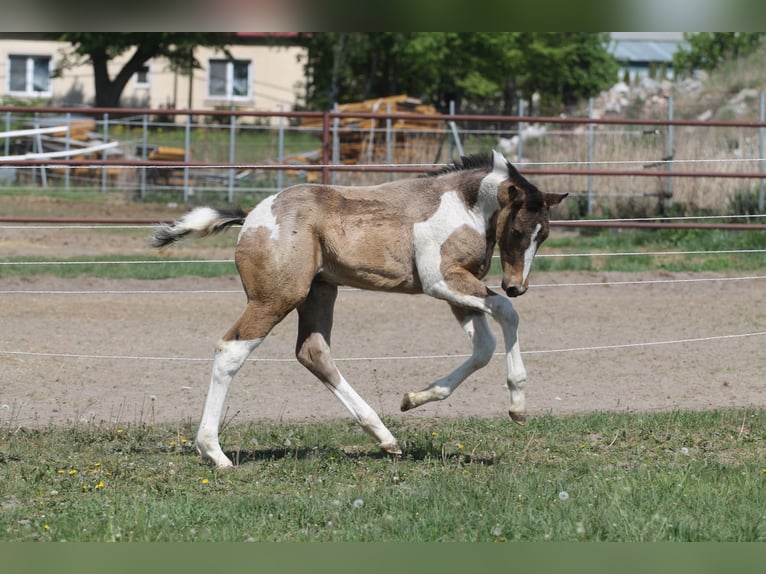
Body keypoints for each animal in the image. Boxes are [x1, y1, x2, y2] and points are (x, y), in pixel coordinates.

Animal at [152, 150, 566, 469]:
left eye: (544, 235)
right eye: (517, 231)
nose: (516, 286)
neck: (463, 205)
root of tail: (253, 215)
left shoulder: (455, 292)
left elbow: (483, 347)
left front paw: (413, 399)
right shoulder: (442, 281)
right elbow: (507, 314)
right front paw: (517, 404)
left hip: (320, 293)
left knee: (313, 353)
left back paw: (385, 437)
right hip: (277, 297)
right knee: (231, 349)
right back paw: (215, 454)